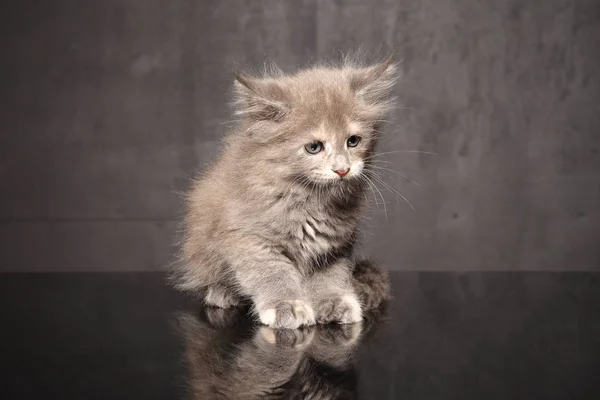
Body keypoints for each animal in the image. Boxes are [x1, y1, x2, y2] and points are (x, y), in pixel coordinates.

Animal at [173, 54, 396, 328]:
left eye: (353, 141)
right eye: (314, 147)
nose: (342, 169)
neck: (311, 199)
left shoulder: (333, 247)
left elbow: (330, 277)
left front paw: (333, 300)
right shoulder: (251, 239)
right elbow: (273, 274)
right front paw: (286, 305)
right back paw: (223, 293)